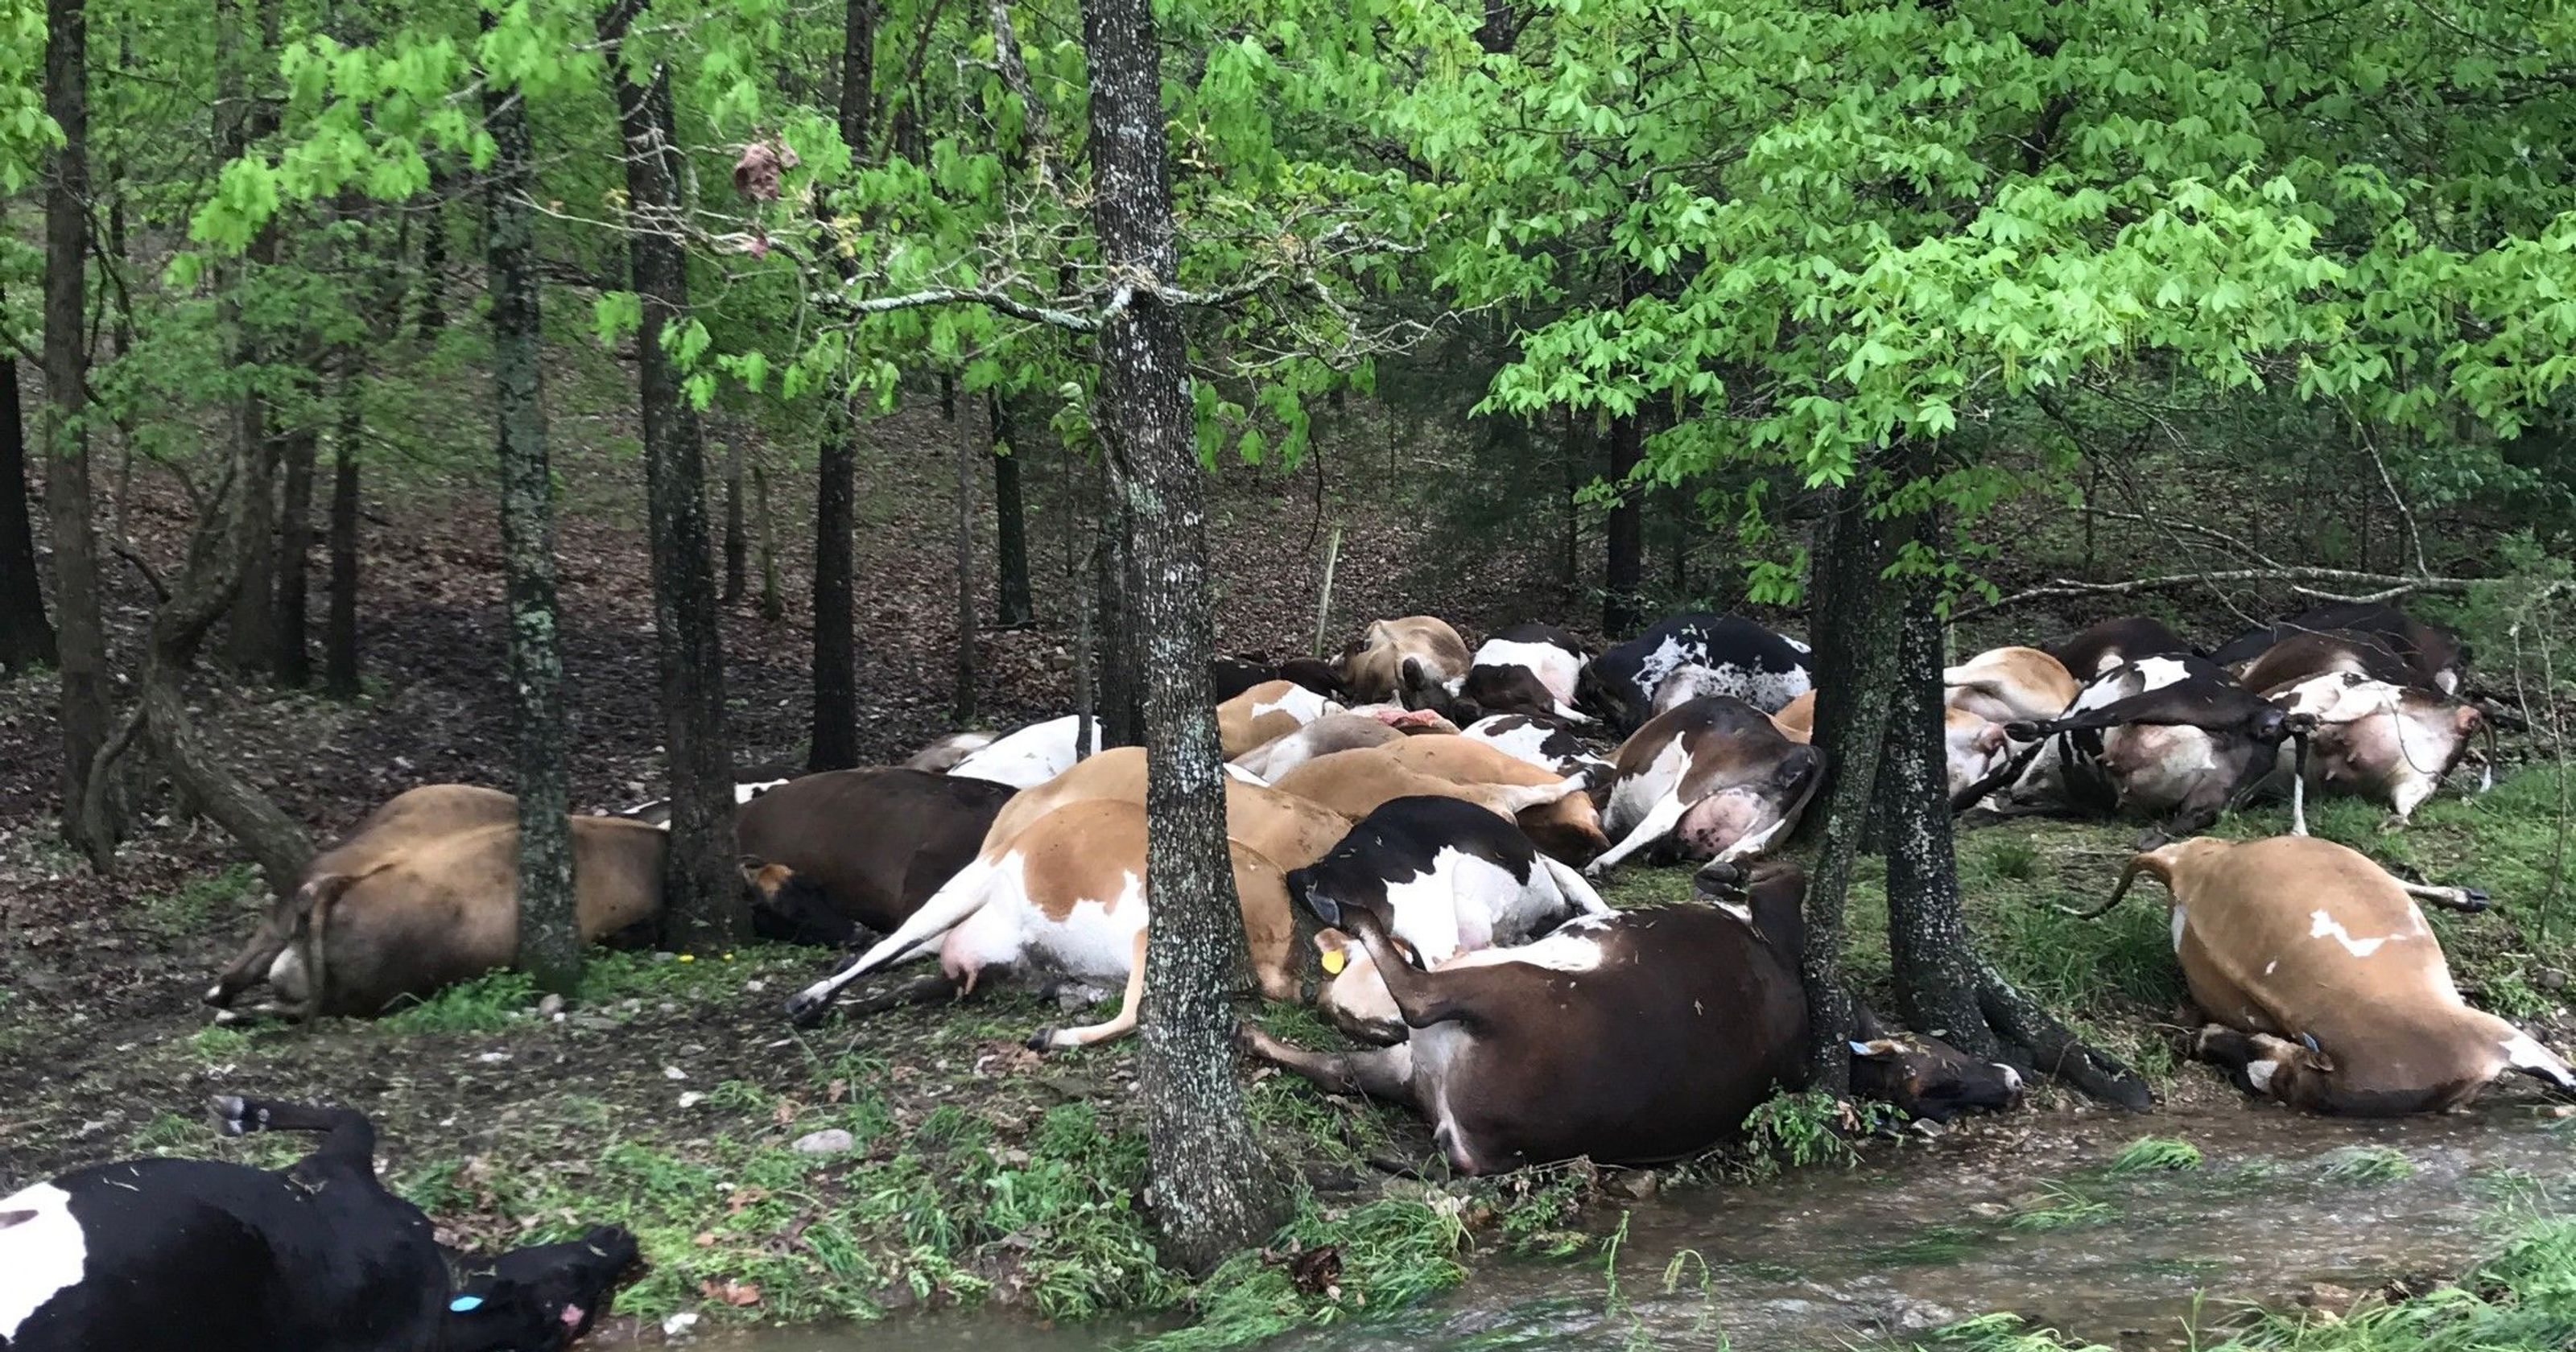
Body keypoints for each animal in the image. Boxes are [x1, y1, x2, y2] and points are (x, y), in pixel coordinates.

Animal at [0, 1097, 637, 1352]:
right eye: (574, 1273)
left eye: (584, 1308)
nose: (627, 1242)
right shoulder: (331, 1175)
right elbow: (354, 1119)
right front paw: (251, 1111)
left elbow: (353, 1121)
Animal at [1242, 860, 2019, 1174]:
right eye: (1945, 1072)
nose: (2012, 1080)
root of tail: (1474, 1148)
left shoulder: (1778, 921)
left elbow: (1782, 877)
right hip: (1411, 1069)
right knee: (1339, 1067)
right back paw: (1253, 1035)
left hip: (1499, 995)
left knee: (1413, 992)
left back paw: (1347, 911)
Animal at [1589, 695, 1825, 874]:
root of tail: (1801, 750)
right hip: (1771, 818)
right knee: (1746, 848)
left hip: (1697, 776)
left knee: (1660, 820)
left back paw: (1600, 863)